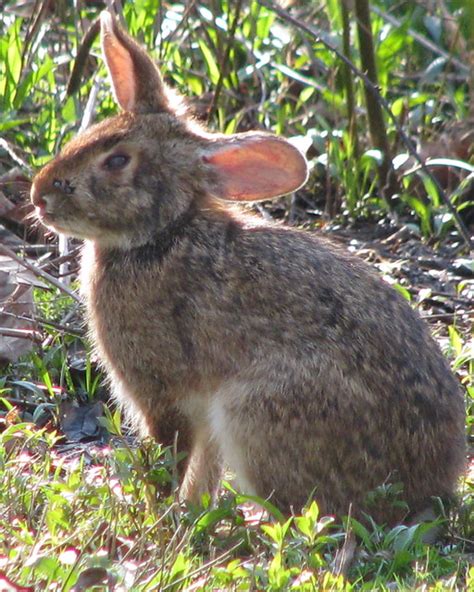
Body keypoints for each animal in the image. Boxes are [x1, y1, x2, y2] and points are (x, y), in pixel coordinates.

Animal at [30, 12, 466, 524]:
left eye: (117, 160)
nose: (39, 195)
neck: (162, 235)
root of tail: (427, 494)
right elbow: (203, 468)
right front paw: (188, 511)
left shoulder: (162, 394)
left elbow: (171, 454)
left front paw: (156, 511)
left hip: (255, 412)